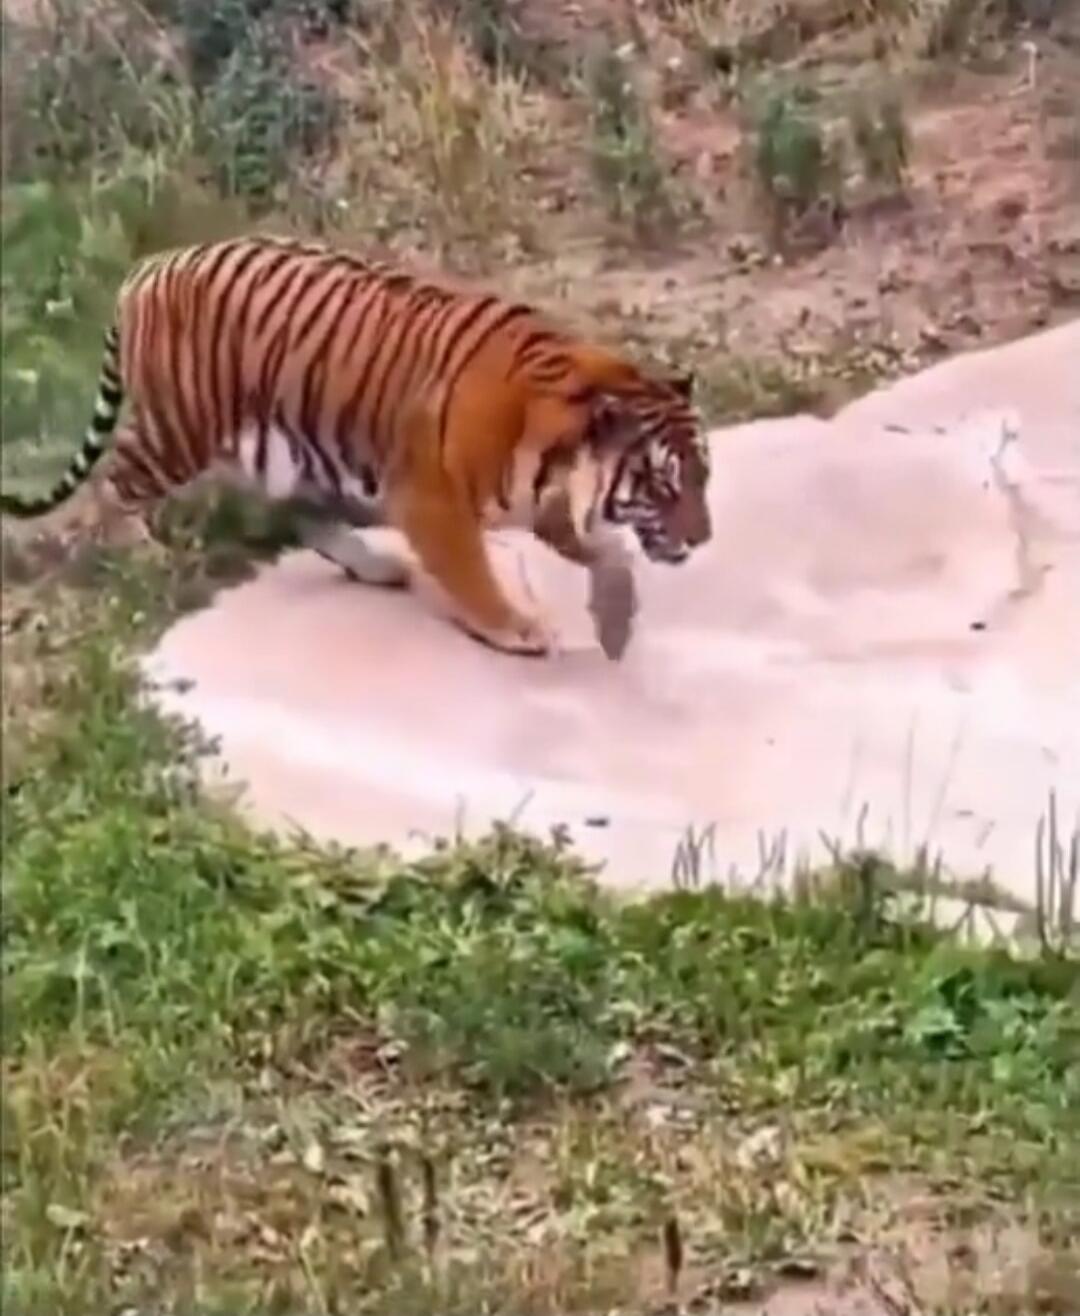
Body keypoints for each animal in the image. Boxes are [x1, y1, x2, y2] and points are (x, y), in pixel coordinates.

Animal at [0, 235, 712, 658]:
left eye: (703, 476)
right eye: (664, 483)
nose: (703, 538)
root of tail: (147, 267)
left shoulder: (545, 502)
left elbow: (609, 550)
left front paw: (616, 621)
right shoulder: (432, 496)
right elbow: (474, 573)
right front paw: (515, 628)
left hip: (290, 449)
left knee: (300, 515)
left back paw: (377, 566)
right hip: (179, 430)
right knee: (112, 487)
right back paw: (132, 558)